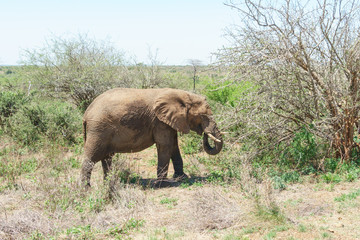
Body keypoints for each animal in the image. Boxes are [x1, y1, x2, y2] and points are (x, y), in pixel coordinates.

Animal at [81, 88, 222, 188]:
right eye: (203, 116)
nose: (205, 134)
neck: (182, 94)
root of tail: (86, 113)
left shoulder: (169, 121)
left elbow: (174, 146)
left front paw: (181, 178)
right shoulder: (159, 121)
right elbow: (165, 145)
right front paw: (162, 185)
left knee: (106, 158)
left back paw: (109, 184)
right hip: (98, 129)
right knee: (91, 158)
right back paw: (87, 190)